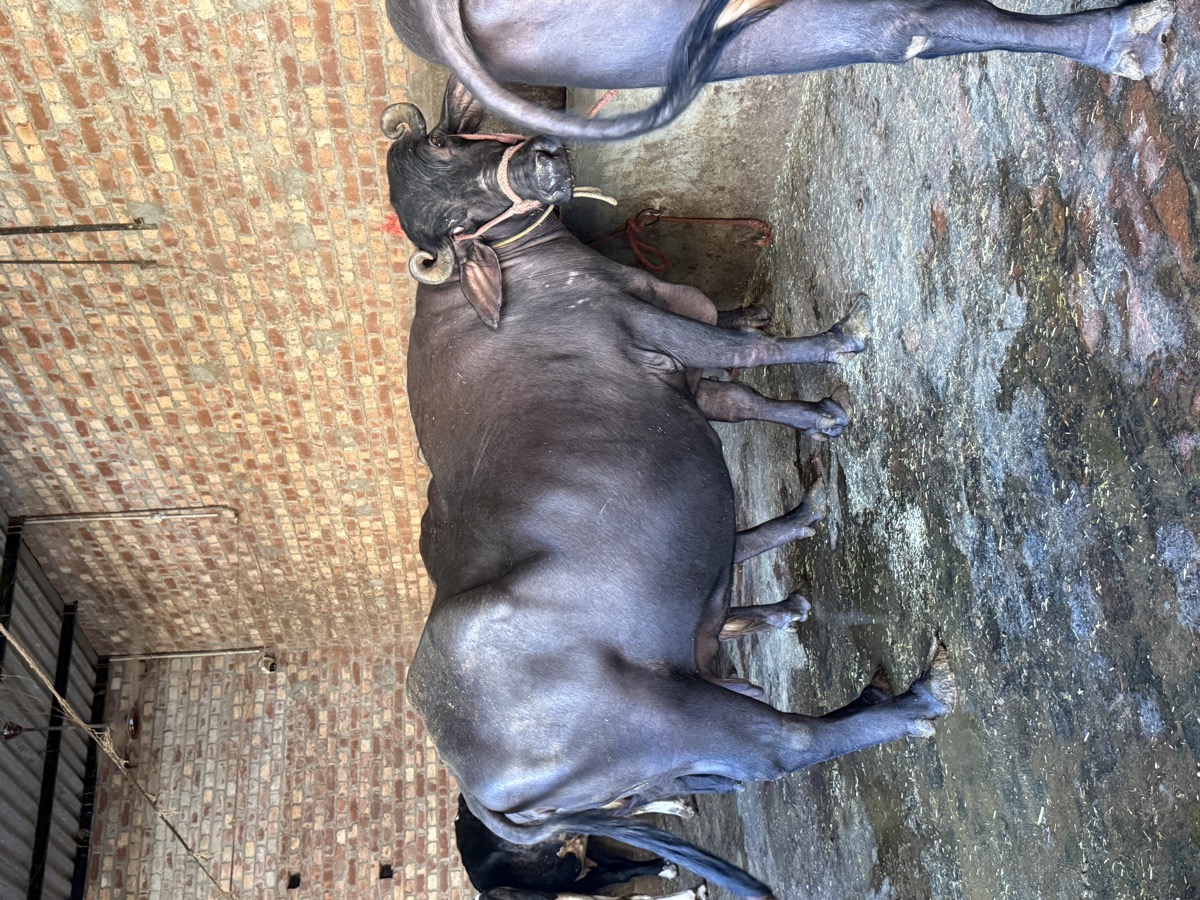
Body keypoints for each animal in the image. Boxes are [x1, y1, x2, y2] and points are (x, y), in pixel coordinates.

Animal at [387, 78, 957, 899]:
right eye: (459, 227)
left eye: (441, 145)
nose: (541, 163)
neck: (533, 266)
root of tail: (477, 788)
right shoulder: (651, 328)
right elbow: (739, 349)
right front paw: (837, 343)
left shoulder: (678, 368)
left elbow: (739, 379)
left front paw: (813, 415)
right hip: (675, 716)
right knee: (780, 747)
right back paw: (916, 697)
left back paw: (809, 546)